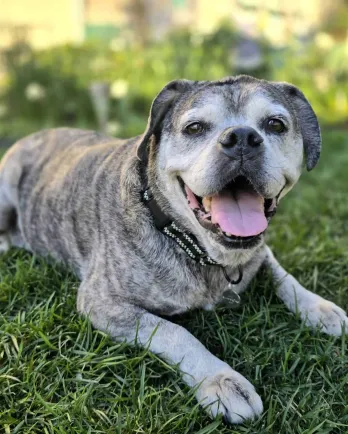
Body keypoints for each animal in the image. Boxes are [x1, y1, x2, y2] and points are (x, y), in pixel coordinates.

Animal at [0, 75, 348, 424]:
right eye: (194, 128)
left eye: (276, 124)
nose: (242, 138)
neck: (196, 244)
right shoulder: (103, 302)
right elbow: (174, 332)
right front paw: (222, 381)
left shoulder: (259, 252)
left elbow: (282, 275)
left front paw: (320, 308)